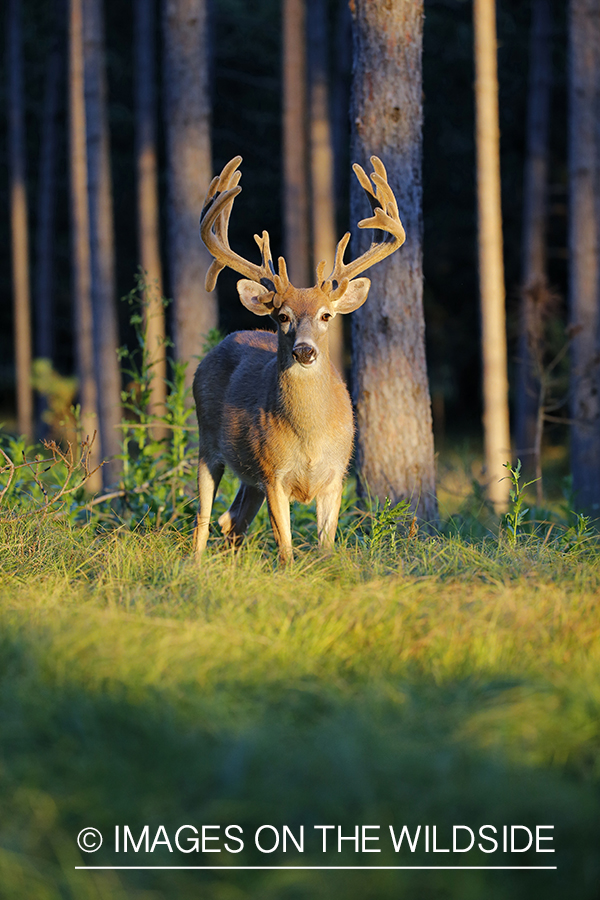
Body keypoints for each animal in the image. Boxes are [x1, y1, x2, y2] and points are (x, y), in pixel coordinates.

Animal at [192, 156, 406, 564]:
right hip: (208, 442)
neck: (309, 436)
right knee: (205, 517)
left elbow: (326, 545)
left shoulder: (336, 474)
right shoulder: (272, 473)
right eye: (282, 317)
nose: (304, 351)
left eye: (326, 315)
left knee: (232, 521)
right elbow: (286, 549)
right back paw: (194, 565)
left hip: (248, 477)